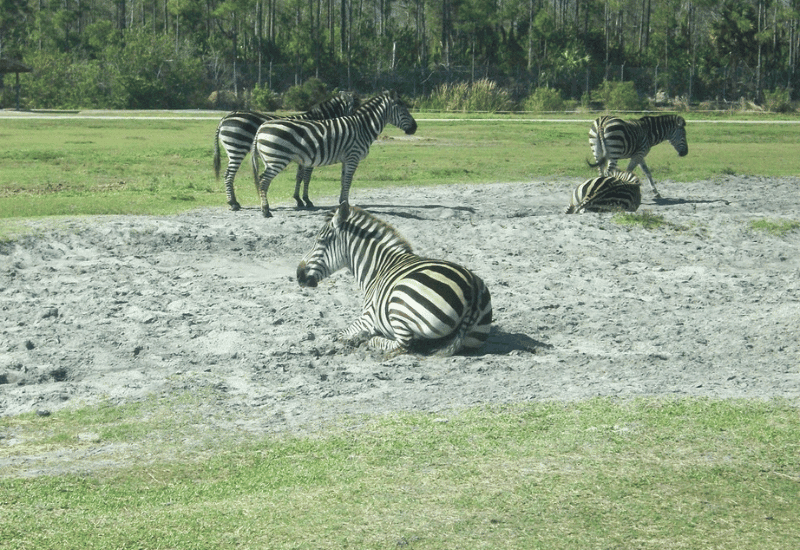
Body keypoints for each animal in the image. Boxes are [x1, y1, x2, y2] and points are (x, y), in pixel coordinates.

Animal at [213, 91, 358, 211]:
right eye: (355, 107)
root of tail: (226, 117)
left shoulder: (303, 157)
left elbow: (299, 177)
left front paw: (298, 199)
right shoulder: (311, 155)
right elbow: (307, 177)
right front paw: (307, 200)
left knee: (229, 175)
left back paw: (233, 202)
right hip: (236, 148)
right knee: (228, 175)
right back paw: (233, 203)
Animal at [251, 90, 417, 218]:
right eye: (402, 109)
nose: (415, 128)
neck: (363, 127)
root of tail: (261, 128)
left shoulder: (346, 159)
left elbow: (343, 180)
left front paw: (342, 203)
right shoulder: (353, 157)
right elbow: (348, 181)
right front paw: (346, 205)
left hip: (270, 160)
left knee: (261, 181)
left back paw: (264, 208)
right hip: (277, 159)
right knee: (263, 181)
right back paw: (266, 211)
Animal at [296, 202, 493, 356]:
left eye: (321, 241)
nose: (298, 275)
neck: (377, 268)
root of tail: (473, 287)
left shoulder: (367, 317)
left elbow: (340, 335)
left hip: (399, 304)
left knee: (403, 345)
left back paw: (372, 340)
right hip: (473, 336)